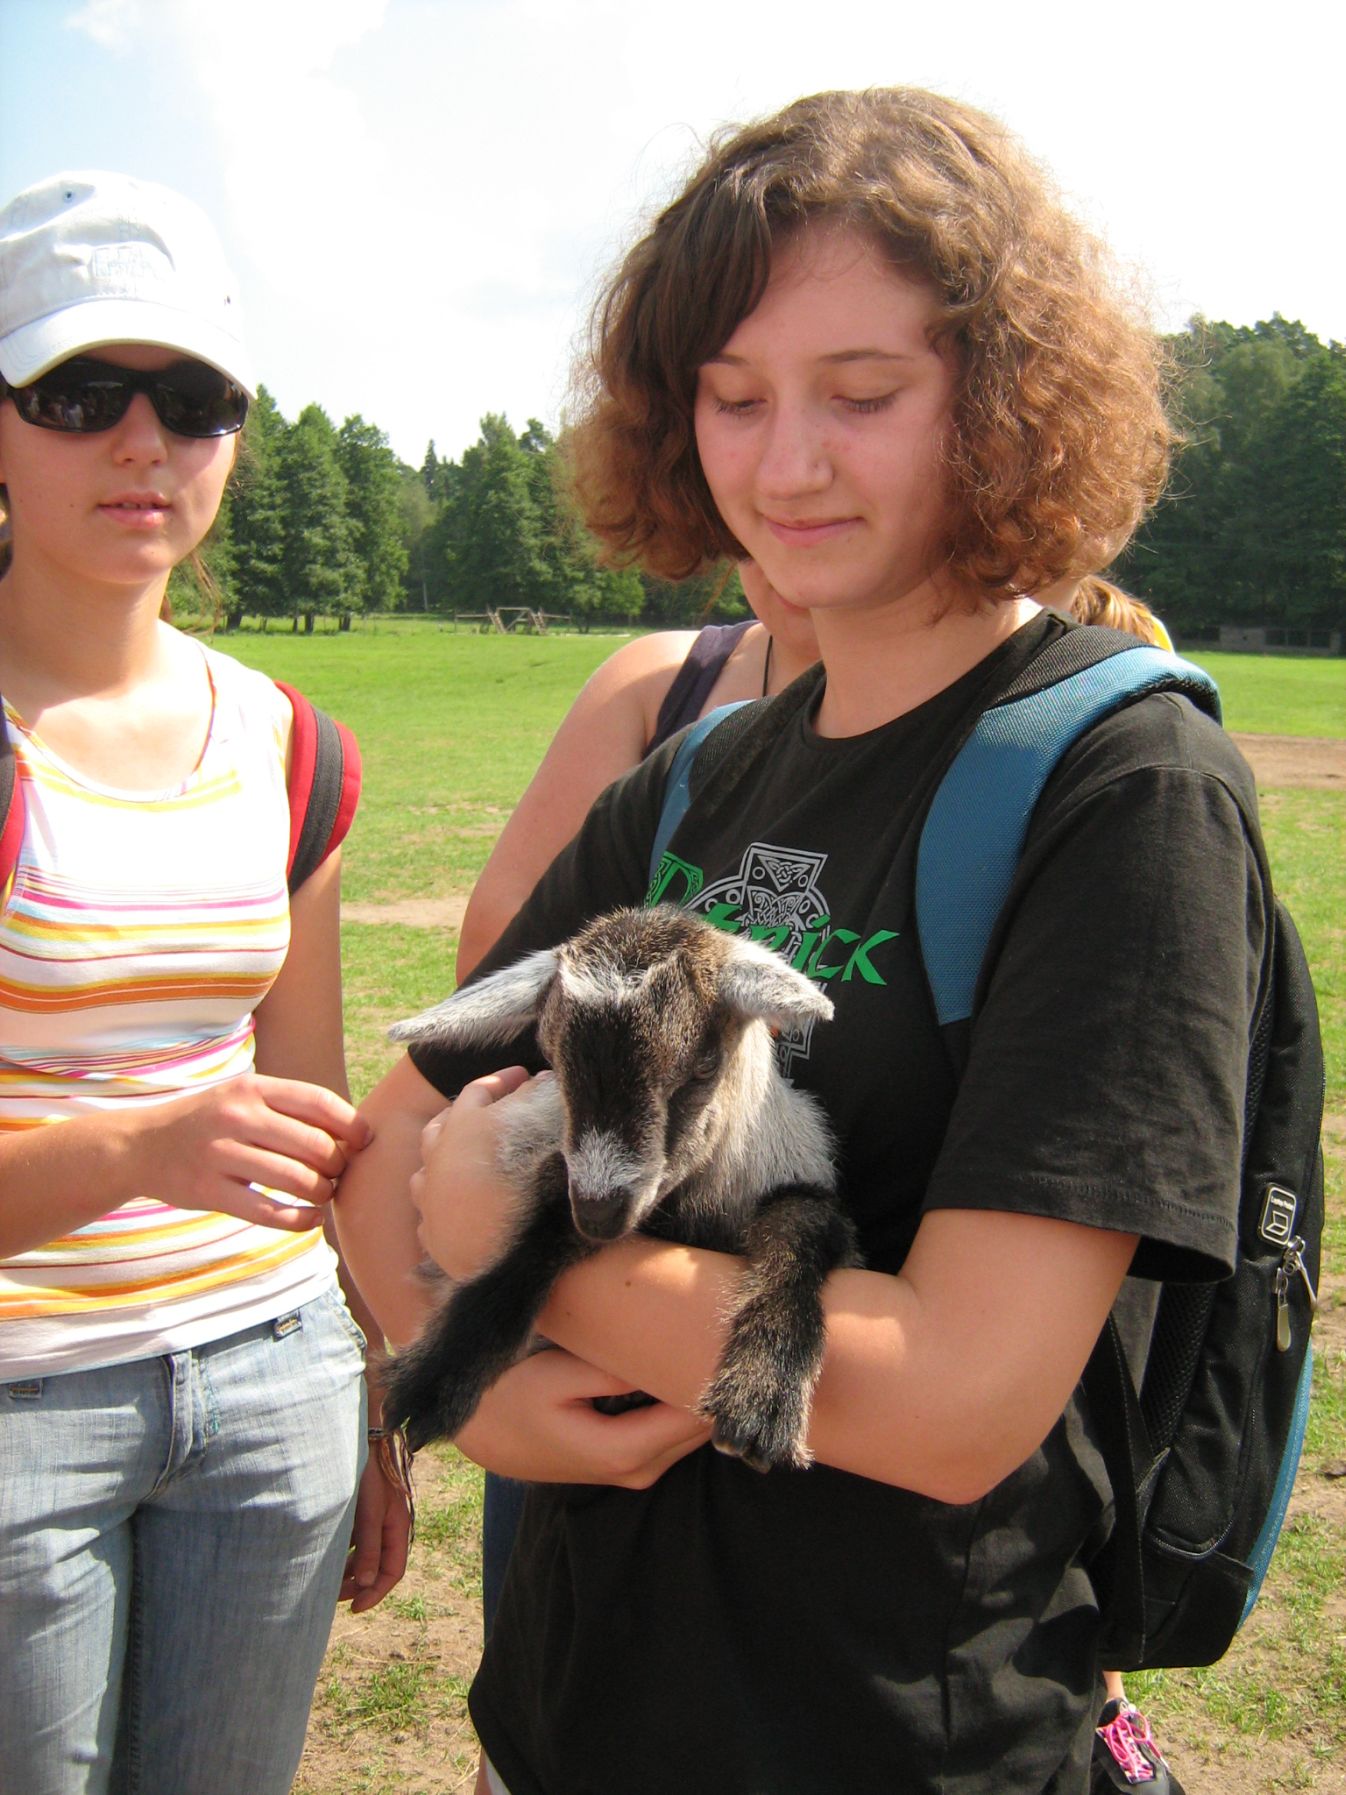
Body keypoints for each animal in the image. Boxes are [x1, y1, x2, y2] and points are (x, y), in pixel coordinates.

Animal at [383, 904, 860, 1472]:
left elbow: (800, 1228)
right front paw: (436, 1378)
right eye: (552, 1058)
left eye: (702, 1067)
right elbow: (544, 1226)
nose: (599, 1213)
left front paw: (763, 1394)